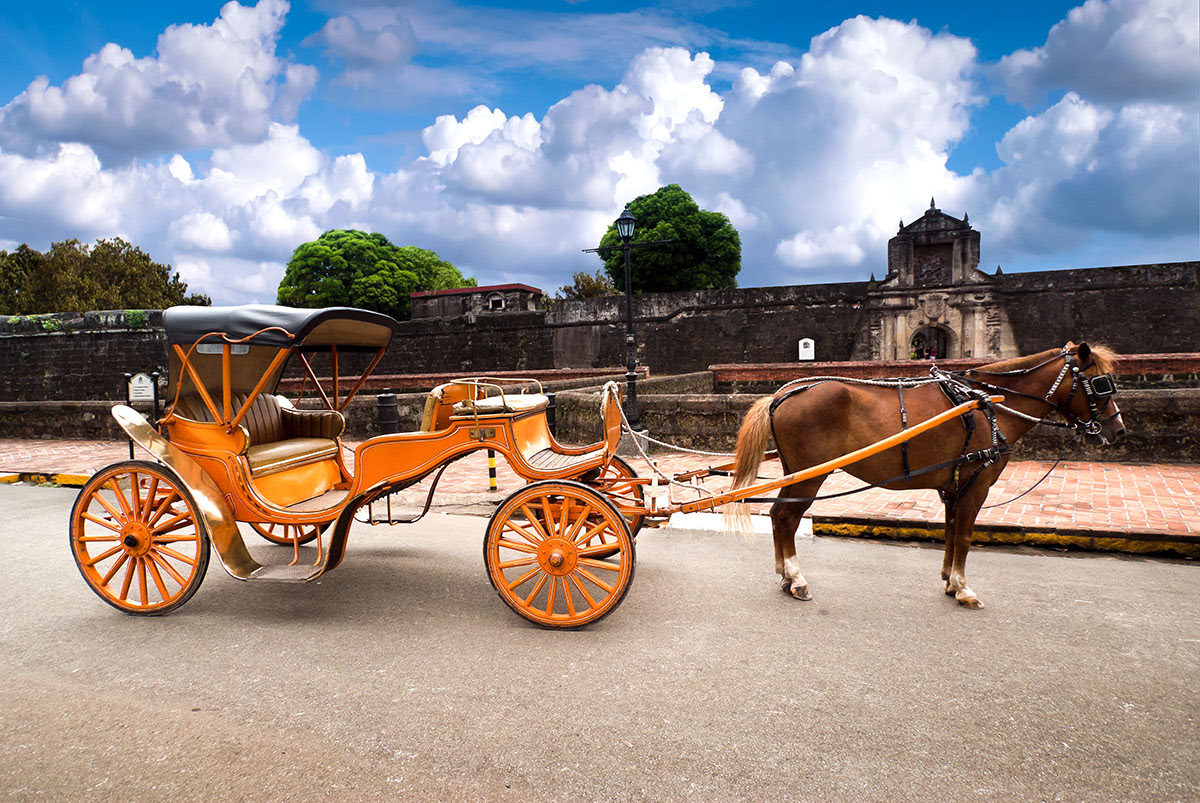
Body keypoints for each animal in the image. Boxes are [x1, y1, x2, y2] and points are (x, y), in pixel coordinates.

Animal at [729, 340, 1123, 607]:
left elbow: (950, 533)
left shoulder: (954, 486)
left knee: (779, 516)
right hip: (810, 474)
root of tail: (782, 394)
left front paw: (949, 581)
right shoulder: (976, 482)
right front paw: (963, 588)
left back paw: (785, 575)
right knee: (785, 517)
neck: (990, 405)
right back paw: (796, 578)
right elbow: (964, 536)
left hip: (795, 472)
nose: (1117, 430)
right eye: (1101, 383)